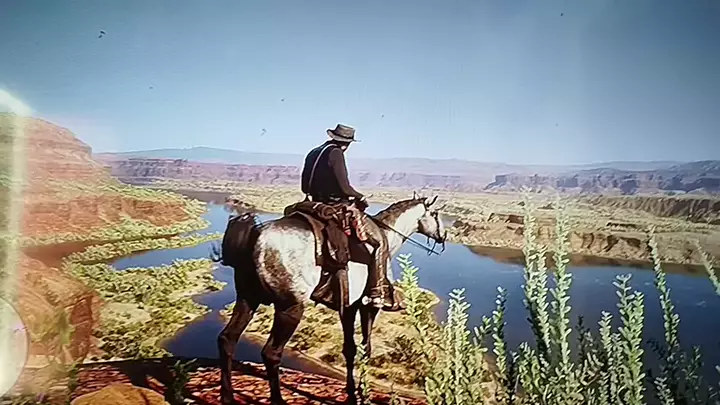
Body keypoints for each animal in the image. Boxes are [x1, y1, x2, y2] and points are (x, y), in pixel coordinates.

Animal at [213, 195, 447, 405]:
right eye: (435, 214)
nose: (443, 236)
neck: (388, 235)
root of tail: (256, 234)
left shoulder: (349, 307)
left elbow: (349, 349)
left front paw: (351, 391)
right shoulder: (368, 307)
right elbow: (366, 348)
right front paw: (362, 391)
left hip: (247, 299)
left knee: (227, 339)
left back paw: (227, 396)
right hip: (290, 308)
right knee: (271, 353)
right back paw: (277, 400)